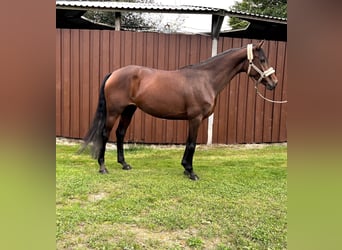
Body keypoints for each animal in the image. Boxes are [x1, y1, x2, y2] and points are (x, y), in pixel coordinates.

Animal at [80, 40, 278, 180]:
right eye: (262, 59)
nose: (274, 83)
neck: (206, 79)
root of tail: (114, 73)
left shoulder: (194, 119)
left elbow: (189, 143)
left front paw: (185, 168)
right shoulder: (195, 118)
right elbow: (191, 144)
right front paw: (190, 171)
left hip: (129, 110)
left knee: (120, 133)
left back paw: (124, 164)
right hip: (114, 111)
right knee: (105, 134)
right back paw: (103, 167)